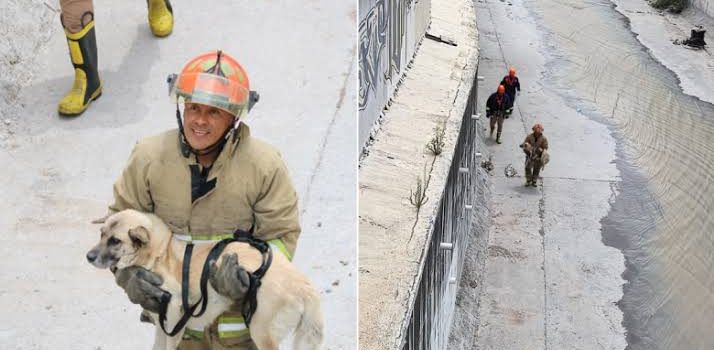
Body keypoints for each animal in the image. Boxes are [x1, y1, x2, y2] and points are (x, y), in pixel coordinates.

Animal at [86, 209, 322, 348]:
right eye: (101, 234)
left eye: (115, 241)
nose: (88, 257)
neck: (160, 253)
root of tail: (305, 286)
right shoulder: (162, 326)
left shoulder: (174, 320)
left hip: (262, 333)